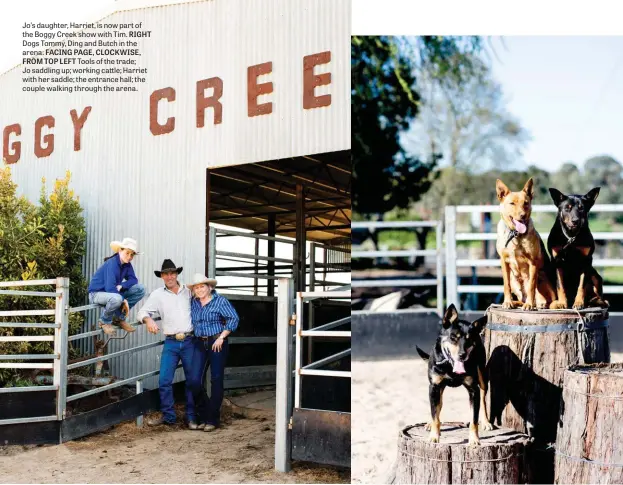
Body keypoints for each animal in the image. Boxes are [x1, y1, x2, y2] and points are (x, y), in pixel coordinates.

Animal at [498, 179, 564, 310]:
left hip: (541, 276)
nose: (522, 215)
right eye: (512, 203)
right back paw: (516, 302)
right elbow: (506, 285)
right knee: (520, 297)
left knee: (544, 300)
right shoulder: (504, 261)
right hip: (514, 279)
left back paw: (536, 304)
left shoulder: (533, 262)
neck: (515, 234)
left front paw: (529, 304)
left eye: (526, 203)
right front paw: (507, 302)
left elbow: (531, 287)